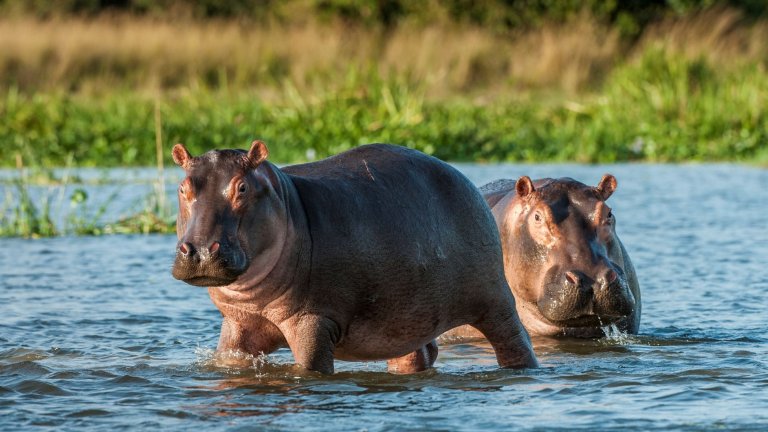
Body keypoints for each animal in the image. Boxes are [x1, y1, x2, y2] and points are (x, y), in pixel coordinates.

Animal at [171, 140, 536, 372]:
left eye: (242, 187)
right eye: (182, 187)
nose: (200, 250)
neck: (286, 202)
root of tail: (466, 180)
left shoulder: (313, 320)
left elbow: (311, 368)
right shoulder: (238, 323)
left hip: (495, 301)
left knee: (514, 340)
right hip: (405, 318)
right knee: (416, 355)